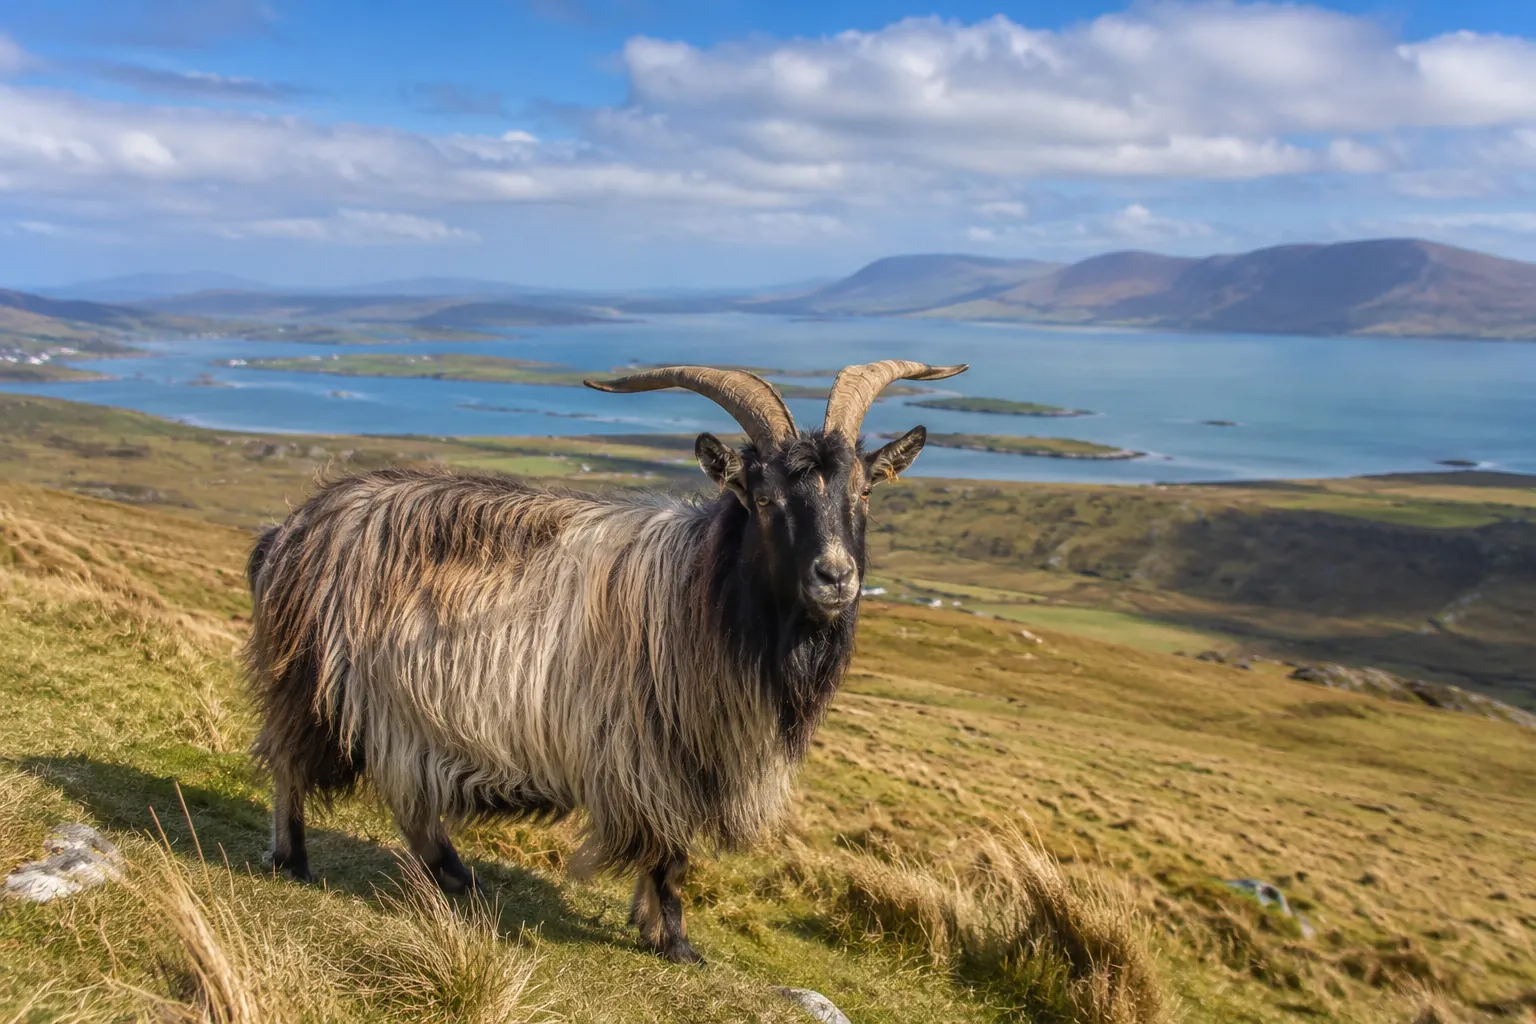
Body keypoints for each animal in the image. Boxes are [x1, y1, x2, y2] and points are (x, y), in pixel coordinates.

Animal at [244, 359, 967, 963]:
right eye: (764, 499)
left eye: (864, 493)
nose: (835, 577)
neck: (701, 593)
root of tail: (292, 528)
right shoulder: (655, 756)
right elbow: (669, 857)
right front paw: (675, 943)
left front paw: (646, 925)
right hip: (312, 681)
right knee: (291, 765)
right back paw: (295, 859)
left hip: (402, 713)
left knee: (407, 799)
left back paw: (455, 878)